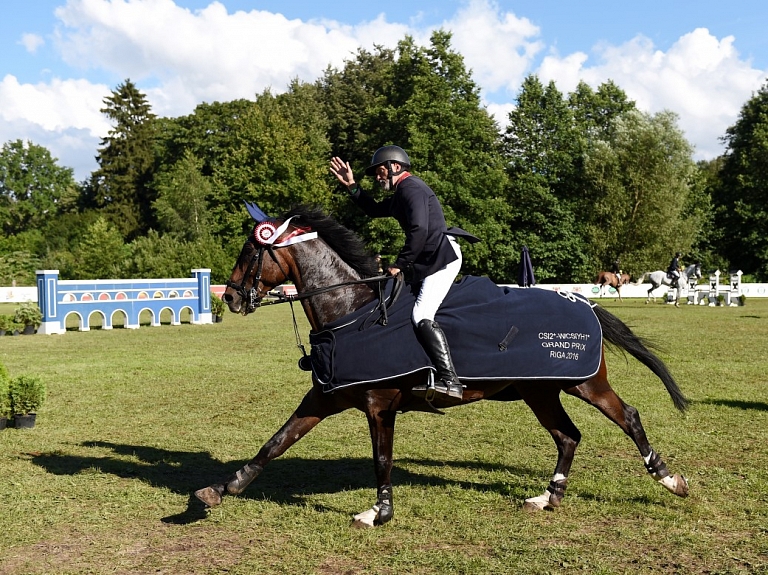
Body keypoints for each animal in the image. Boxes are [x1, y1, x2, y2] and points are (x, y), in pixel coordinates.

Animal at [194, 205, 688, 528]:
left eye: (251, 251)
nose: (231, 297)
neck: (351, 311)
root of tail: (582, 300)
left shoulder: (379, 405)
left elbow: (382, 458)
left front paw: (379, 512)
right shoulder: (324, 397)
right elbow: (275, 443)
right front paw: (221, 489)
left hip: (585, 384)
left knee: (628, 417)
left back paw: (669, 479)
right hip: (540, 391)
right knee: (568, 435)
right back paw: (549, 497)